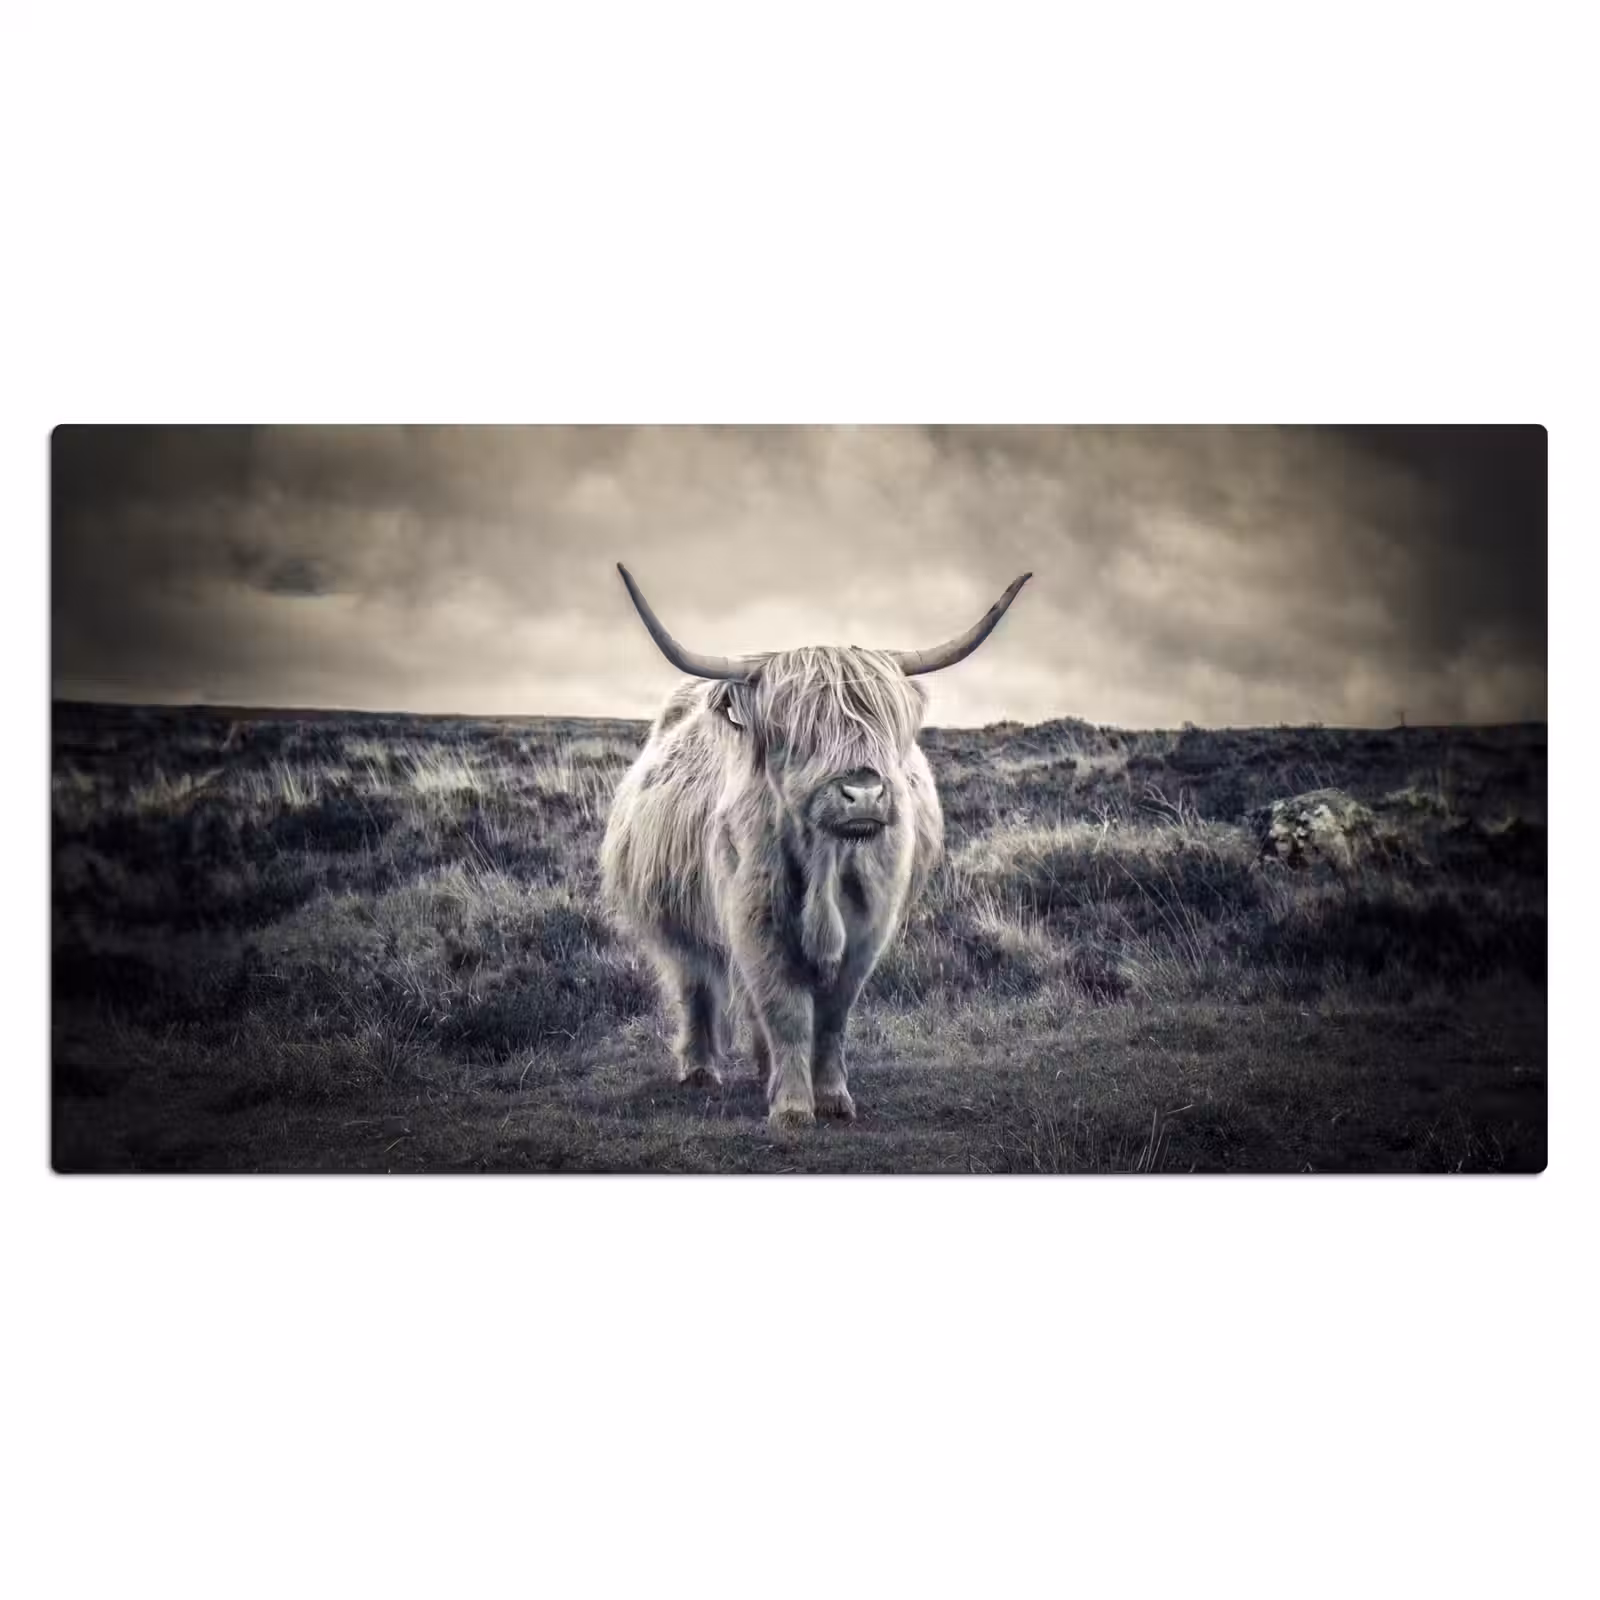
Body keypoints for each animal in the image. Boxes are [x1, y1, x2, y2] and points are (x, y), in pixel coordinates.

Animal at [600, 563, 1032, 1128]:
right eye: (796, 731)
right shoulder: (755, 918)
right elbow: (784, 1008)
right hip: (676, 919)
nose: (863, 793)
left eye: (884, 724)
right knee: (695, 985)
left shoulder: (868, 928)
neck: (827, 861)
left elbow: (831, 1016)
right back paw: (699, 1069)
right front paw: (791, 1107)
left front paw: (831, 1097)